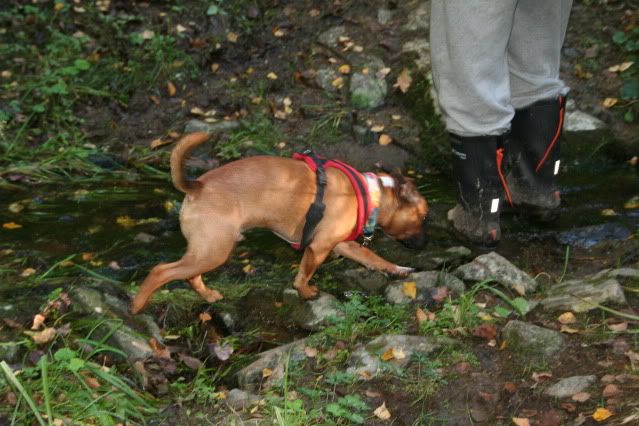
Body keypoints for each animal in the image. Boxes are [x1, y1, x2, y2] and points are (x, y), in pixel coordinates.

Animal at [130, 131, 430, 314]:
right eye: (424, 217)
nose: (425, 243)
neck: (371, 193)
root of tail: (197, 186)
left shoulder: (340, 245)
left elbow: (373, 257)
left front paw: (398, 269)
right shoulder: (318, 247)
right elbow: (305, 274)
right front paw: (306, 292)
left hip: (207, 251)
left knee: (190, 275)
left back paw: (209, 296)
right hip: (214, 250)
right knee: (161, 271)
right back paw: (136, 306)